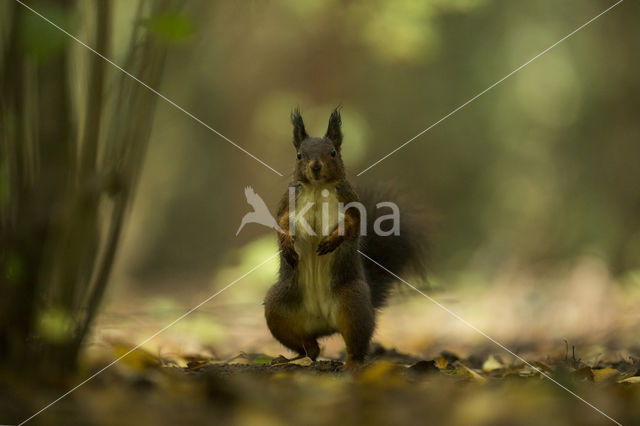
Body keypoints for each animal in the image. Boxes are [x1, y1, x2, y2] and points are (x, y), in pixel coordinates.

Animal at [262, 107, 428, 370]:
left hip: (352, 304)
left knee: (355, 342)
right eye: (299, 155)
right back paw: (289, 359)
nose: (316, 166)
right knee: (309, 346)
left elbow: (351, 225)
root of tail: (323, 322)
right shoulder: (287, 202)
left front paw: (332, 241)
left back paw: (351, 363)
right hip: (277, 309)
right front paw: (287, 246)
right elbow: (281, 224)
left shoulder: (349, 201)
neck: (317, 188)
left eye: (332, 152)